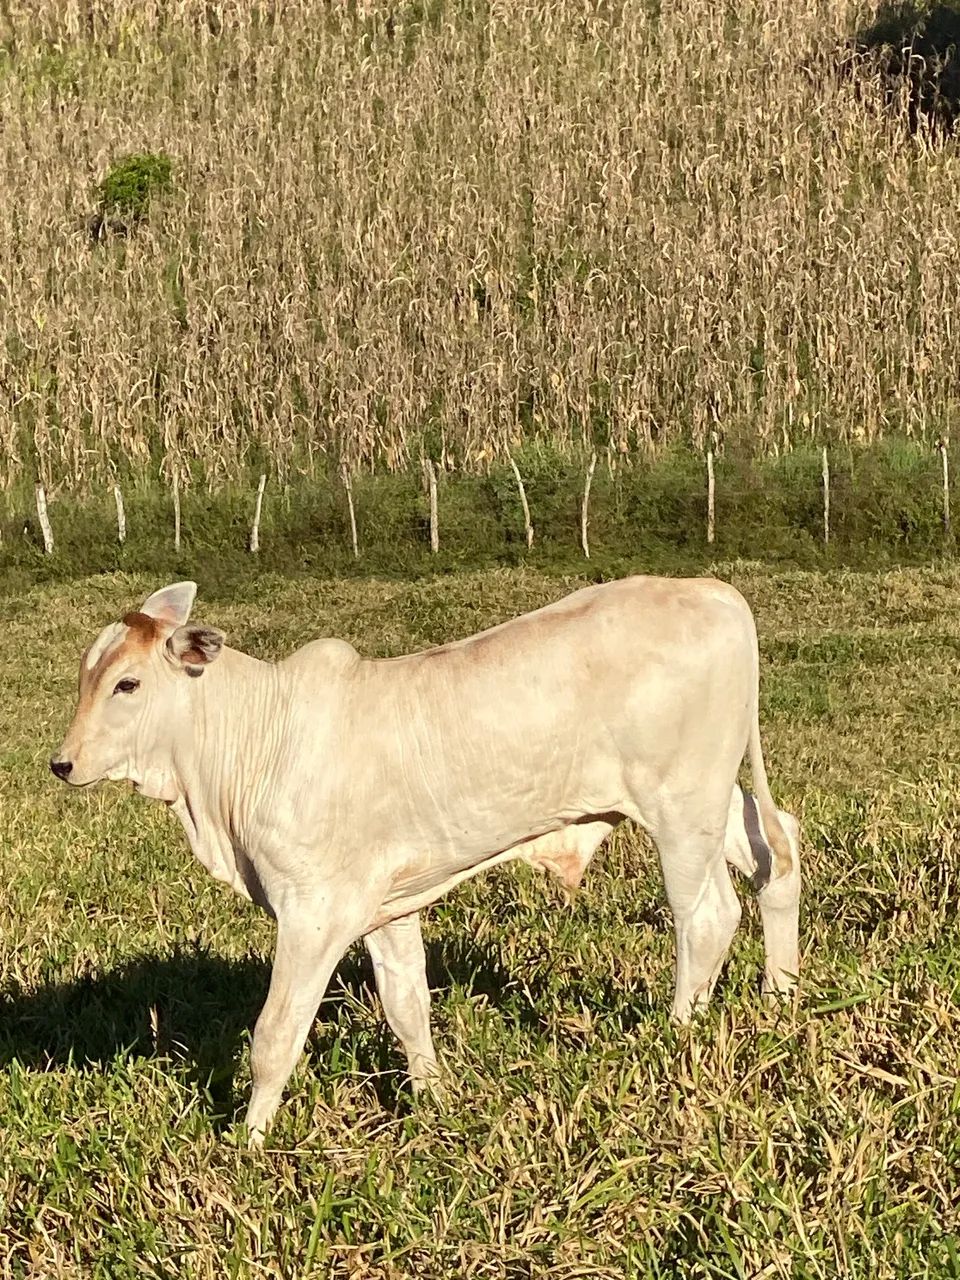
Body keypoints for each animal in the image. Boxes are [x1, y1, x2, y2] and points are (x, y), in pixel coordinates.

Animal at [51, 577, 800, 1142]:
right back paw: (782, 995)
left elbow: (274, 1037)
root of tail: (713, 591)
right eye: (87, 676)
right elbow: (408, 1005)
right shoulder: (386, 906)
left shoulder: (313, 912)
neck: (251, 740)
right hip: (711, 798)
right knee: (778, 854)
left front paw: (247, 1145)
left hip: (680, 807)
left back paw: (674, 1034)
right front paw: (436, 1099)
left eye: (127, 684)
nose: (62, 764)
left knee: (706, 915)